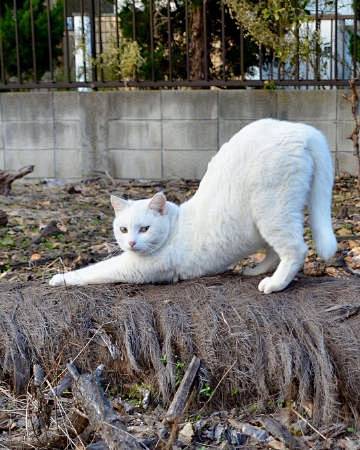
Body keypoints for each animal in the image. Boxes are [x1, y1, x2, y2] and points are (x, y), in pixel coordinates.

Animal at [49, 118, 336, 294]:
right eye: (123, 229)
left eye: (144, 229)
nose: (131, 242)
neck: (173, 225)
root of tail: (301, 129)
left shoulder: (135, 268)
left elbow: (94, 270)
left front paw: (60, 278)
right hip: (263, 221)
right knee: (274, 251)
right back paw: (254, 270)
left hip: (272, 210)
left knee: (295, 249)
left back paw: (275, 283)